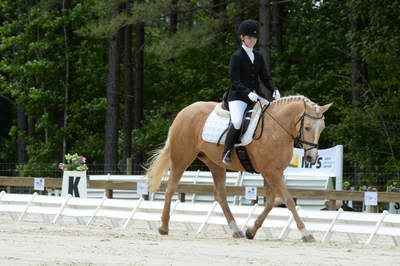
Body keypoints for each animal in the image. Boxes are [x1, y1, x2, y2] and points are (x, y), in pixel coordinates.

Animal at [146, 95, 332, 241]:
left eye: (322, 128)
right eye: (307, 127)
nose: (311, 158)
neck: (277, 129)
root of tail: (184, 112)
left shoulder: (273, 172)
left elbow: (272, 201)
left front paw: (251, 231)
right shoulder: (271, 173)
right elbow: (288, 200)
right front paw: (306, 233)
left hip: (215, 164)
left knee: (220, 195)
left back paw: (236, 230)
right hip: (182, 158)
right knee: (170, 188)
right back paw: (163, 227)